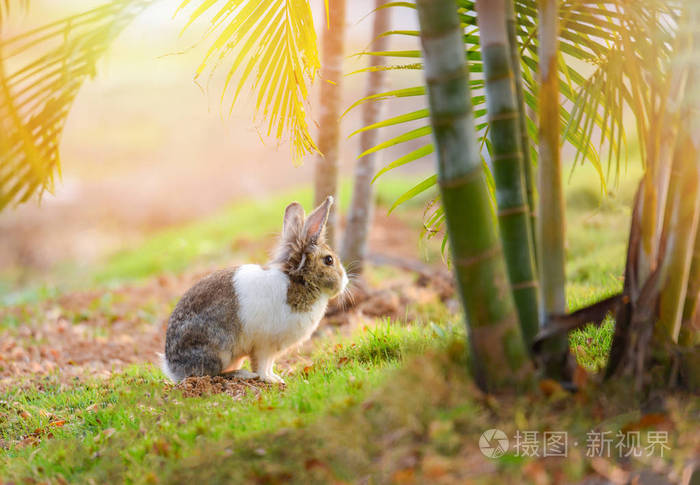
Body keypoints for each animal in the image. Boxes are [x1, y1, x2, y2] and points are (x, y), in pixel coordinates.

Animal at [164, 196, 350, 382]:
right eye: (329, 260)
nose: (345, 282)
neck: (301, 282)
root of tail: (172, 367)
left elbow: (269, 365)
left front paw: (276, 378)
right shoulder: (264, 345)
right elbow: (261, 364)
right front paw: (270, 380)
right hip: (219, 349)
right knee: (211, 374)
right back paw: (243, 374)